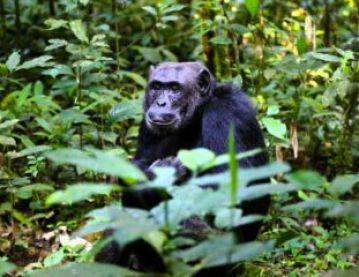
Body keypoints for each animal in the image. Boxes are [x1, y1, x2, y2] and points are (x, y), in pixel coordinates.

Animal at [95, 61, 270, 274]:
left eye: (175, 89)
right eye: (156, 87)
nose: (161, 103)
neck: (197, 114)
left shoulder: (228, 114)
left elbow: (227, 188)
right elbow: (139, 163)